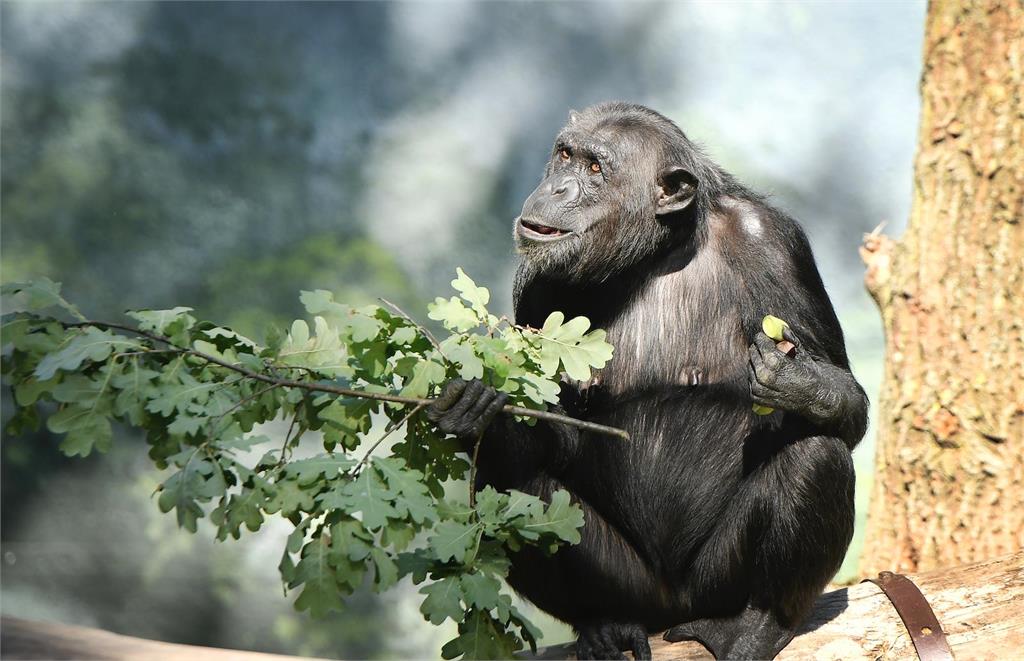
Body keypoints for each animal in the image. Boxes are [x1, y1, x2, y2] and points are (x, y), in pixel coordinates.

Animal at [428, 103, 868, 661]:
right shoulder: (537, 287)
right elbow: (557, 427)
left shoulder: (772, 241)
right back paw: (602, 625)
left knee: (817, 455)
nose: (557, 188)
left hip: (715, 583)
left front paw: (797, 380)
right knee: (506, 484)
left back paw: (759, 624)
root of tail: (670, 611)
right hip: (631, 586)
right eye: (565, 155)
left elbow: (848, 401)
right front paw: (478, 406)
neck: (659, 251)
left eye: (596, 169)